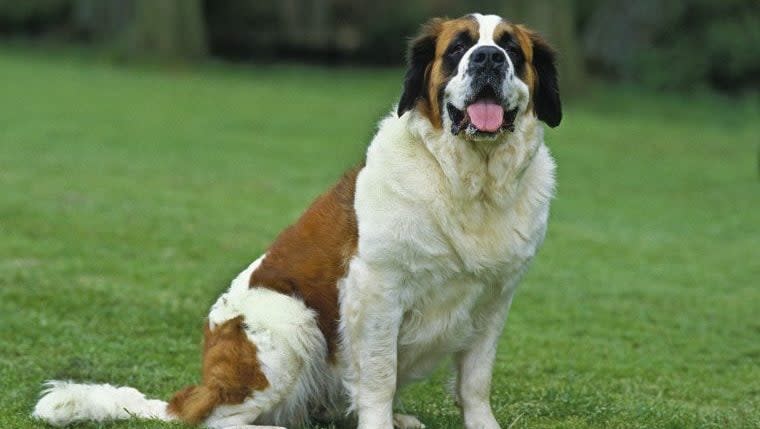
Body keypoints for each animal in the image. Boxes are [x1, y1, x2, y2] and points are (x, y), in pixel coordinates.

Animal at [34, 11, 560, 428]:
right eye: (458, 48)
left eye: (512, 50)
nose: (489, 59)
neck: (469, 183)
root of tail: (199, 388)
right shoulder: (375, 289)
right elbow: (379, 376)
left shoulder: (495, 298)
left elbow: (475, 380)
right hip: (291, 321)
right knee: (220, 420)